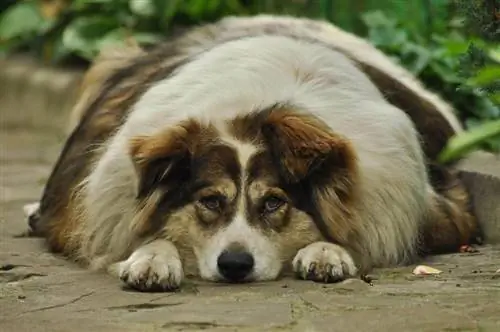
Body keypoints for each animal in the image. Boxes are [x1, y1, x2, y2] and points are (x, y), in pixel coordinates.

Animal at [24, 15, 480, 292]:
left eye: (274, 203)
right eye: (209, 201)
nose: (235, 266)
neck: (257, 107)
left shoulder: (441, 213)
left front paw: (328, 251)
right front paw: (152, 257)